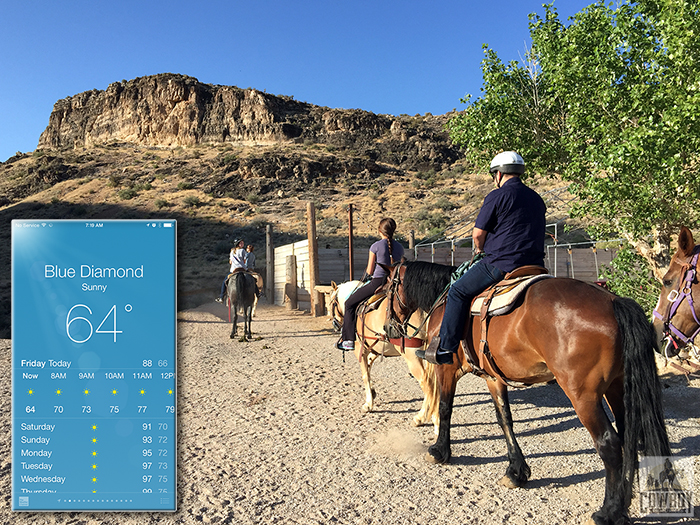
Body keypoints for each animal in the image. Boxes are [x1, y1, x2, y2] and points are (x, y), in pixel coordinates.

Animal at [328, 278, 438, 430]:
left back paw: (423, 418)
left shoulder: (360, 350)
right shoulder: (377, 348)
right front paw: (373, 392)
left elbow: (365, 375)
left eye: (331, 302)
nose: (335, 324)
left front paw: (368, 404)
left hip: (413, 357)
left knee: (427, 383)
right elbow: (369, 366)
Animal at [386, 258, 668, 524]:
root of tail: (613, 301)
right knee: (629, 437)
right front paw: (516, 472)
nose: (389, 328)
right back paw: (623, 506)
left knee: (609, 444)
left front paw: (439, 450)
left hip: (583, 397)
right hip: (617, 388)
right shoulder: (493, 378)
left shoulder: (446, 369)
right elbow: (505, 419)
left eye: (389, 287)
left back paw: (608, 512)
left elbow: (445, 408)